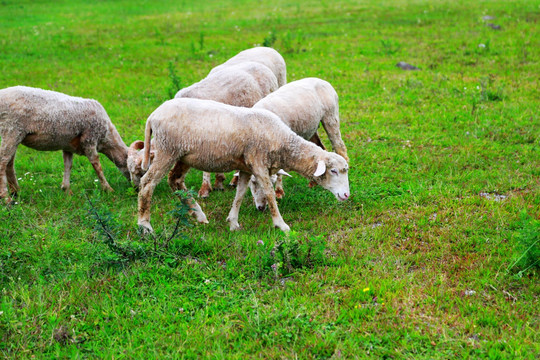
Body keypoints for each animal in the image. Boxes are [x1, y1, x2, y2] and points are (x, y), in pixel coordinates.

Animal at [0, 86, 130, 201]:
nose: (133, 186)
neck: (106, 136)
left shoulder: (68, 146)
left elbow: (68, 165)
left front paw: (66, 190)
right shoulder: (89, 139)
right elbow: (97, 164)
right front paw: (108, 189)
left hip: (15, 134)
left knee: (9, 163)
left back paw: (16, 191)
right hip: (11, 129)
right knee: (3, 161)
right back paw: (6, 198)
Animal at [131, 98, 350, 233]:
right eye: (333, 171)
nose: (346, 195)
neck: (282, 141)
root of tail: (153, 115)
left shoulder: (246, 166)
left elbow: (240, 194)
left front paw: (233, 223)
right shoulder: (259, 163)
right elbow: (270, 194)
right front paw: (281, 225)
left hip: (183, 156)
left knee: (175, 181)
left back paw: (199, 215)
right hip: (167, 150)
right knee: (148, 183)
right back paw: (145, 225)